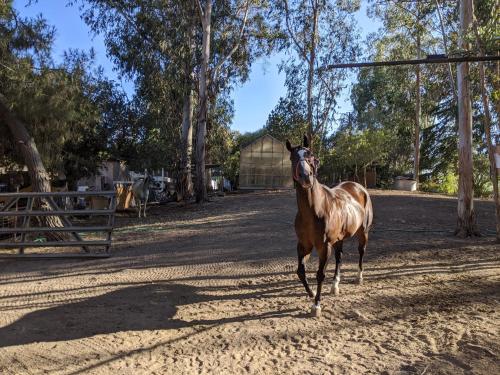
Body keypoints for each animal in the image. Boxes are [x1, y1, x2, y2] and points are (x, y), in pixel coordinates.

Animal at [288, 135, 374, 318]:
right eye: (292, 158)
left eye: (311, 156)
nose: (306, 177)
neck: (315, 210)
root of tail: (359, 188)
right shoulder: (304, 245)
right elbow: (300, 271)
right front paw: (312, 293)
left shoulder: (324, 246)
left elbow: (320, 274)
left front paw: (316, 305)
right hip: (339, 239)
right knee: (339, 257)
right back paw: (335, 285)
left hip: (363, 232)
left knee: (361, 252)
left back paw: (359, 277)